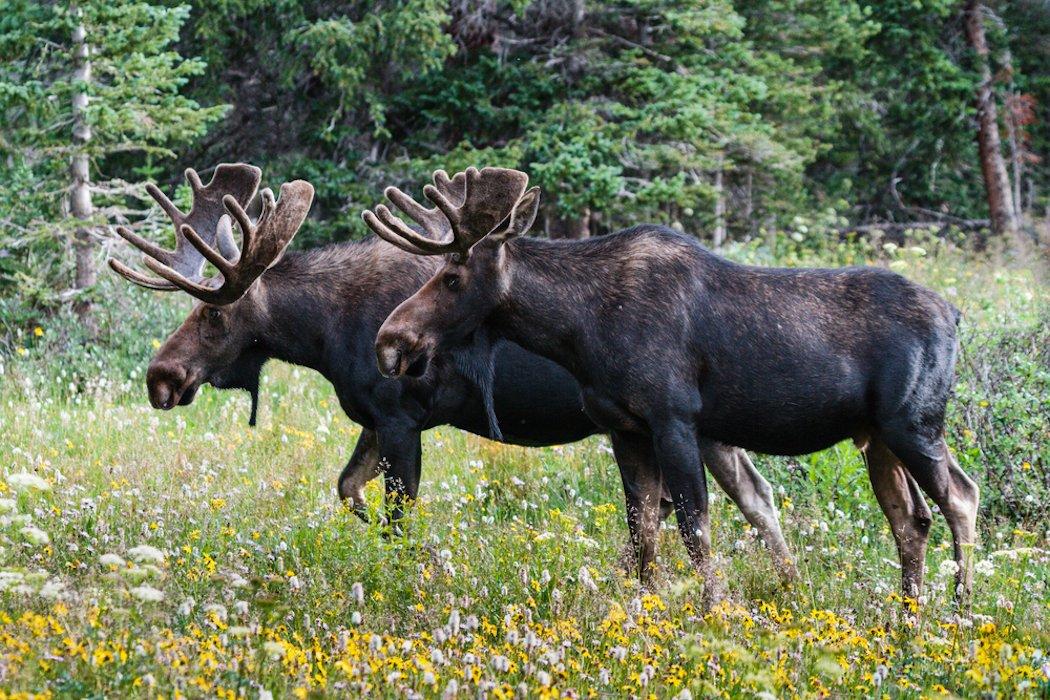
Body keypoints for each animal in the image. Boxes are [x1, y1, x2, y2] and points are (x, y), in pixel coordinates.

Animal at [108, 162, 793, 579]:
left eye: (213, 314)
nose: (159, 376)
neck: (324, 332)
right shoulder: (373, 419)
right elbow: (347, 489)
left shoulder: (399, 416)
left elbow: (396, 518)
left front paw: (415, 569)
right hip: (704, 424)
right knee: (754, 495)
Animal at [365, 165, 978, 604]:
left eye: (452, 276)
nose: (389, 341)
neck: (577, 331)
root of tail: (955, 313)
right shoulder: (624, 429)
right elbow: (643, 536)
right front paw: (646, 613)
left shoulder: (674, 418)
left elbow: (693, 529)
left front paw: (715, 613)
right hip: (876, 436)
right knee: (910, 519)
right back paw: (907, 616)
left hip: (914, 422)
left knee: (961, 497)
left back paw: (959, 610)